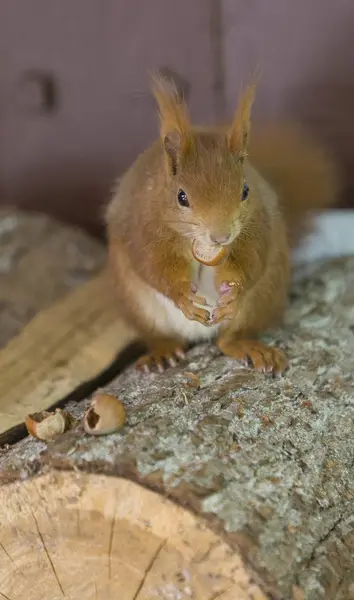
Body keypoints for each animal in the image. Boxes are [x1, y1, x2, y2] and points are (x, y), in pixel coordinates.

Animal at [107, 75, 338, 376]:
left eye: (245, 190)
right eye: (181, 197)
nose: (221, 236)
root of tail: (198, 335)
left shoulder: (257, 226)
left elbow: (251, 260)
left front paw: (234, 290)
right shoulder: (143, 227)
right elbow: (154, 267)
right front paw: (182, 294)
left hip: (262, 297)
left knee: (230, 338)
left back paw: (249, 347)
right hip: (136, 305)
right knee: (161, 336)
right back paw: (162, 352)